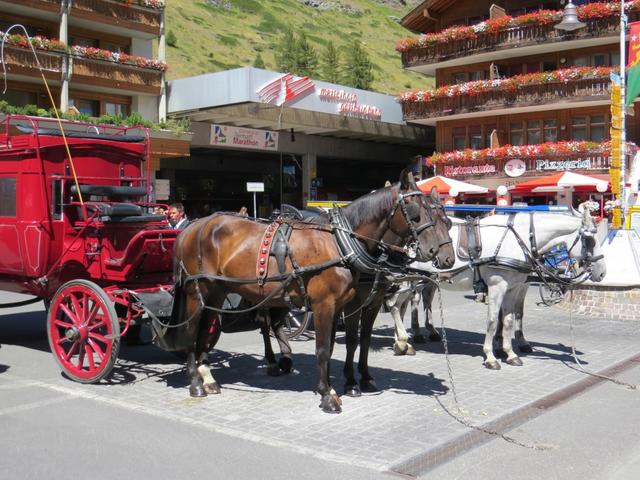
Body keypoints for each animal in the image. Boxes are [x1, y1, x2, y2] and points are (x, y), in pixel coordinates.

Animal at [165, 168, 456, 412]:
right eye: (417, 213)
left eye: (446, 221)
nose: (444, 257)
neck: (341, 242)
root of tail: (195, 226)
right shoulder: (326, 304)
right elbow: (324, 349)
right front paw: (329, 394)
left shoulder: (351, 304)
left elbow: (354, 341)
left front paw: (353, 382)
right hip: (196, 293)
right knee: (192, 331)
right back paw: (196, 383)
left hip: (217, 293)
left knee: (210, 329)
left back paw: (209, 377)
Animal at [390, 208, 604, 370]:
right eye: (589, 240)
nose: (602, 273)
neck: (518, 239)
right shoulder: (497, 286)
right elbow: (493, 321)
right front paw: (491, 356)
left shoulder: (514, 287)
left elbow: (509, 319)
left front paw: (509, 352)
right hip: (404, 278)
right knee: (395, 305)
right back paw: (404, 340)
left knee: (405, 304)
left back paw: (404, 341)